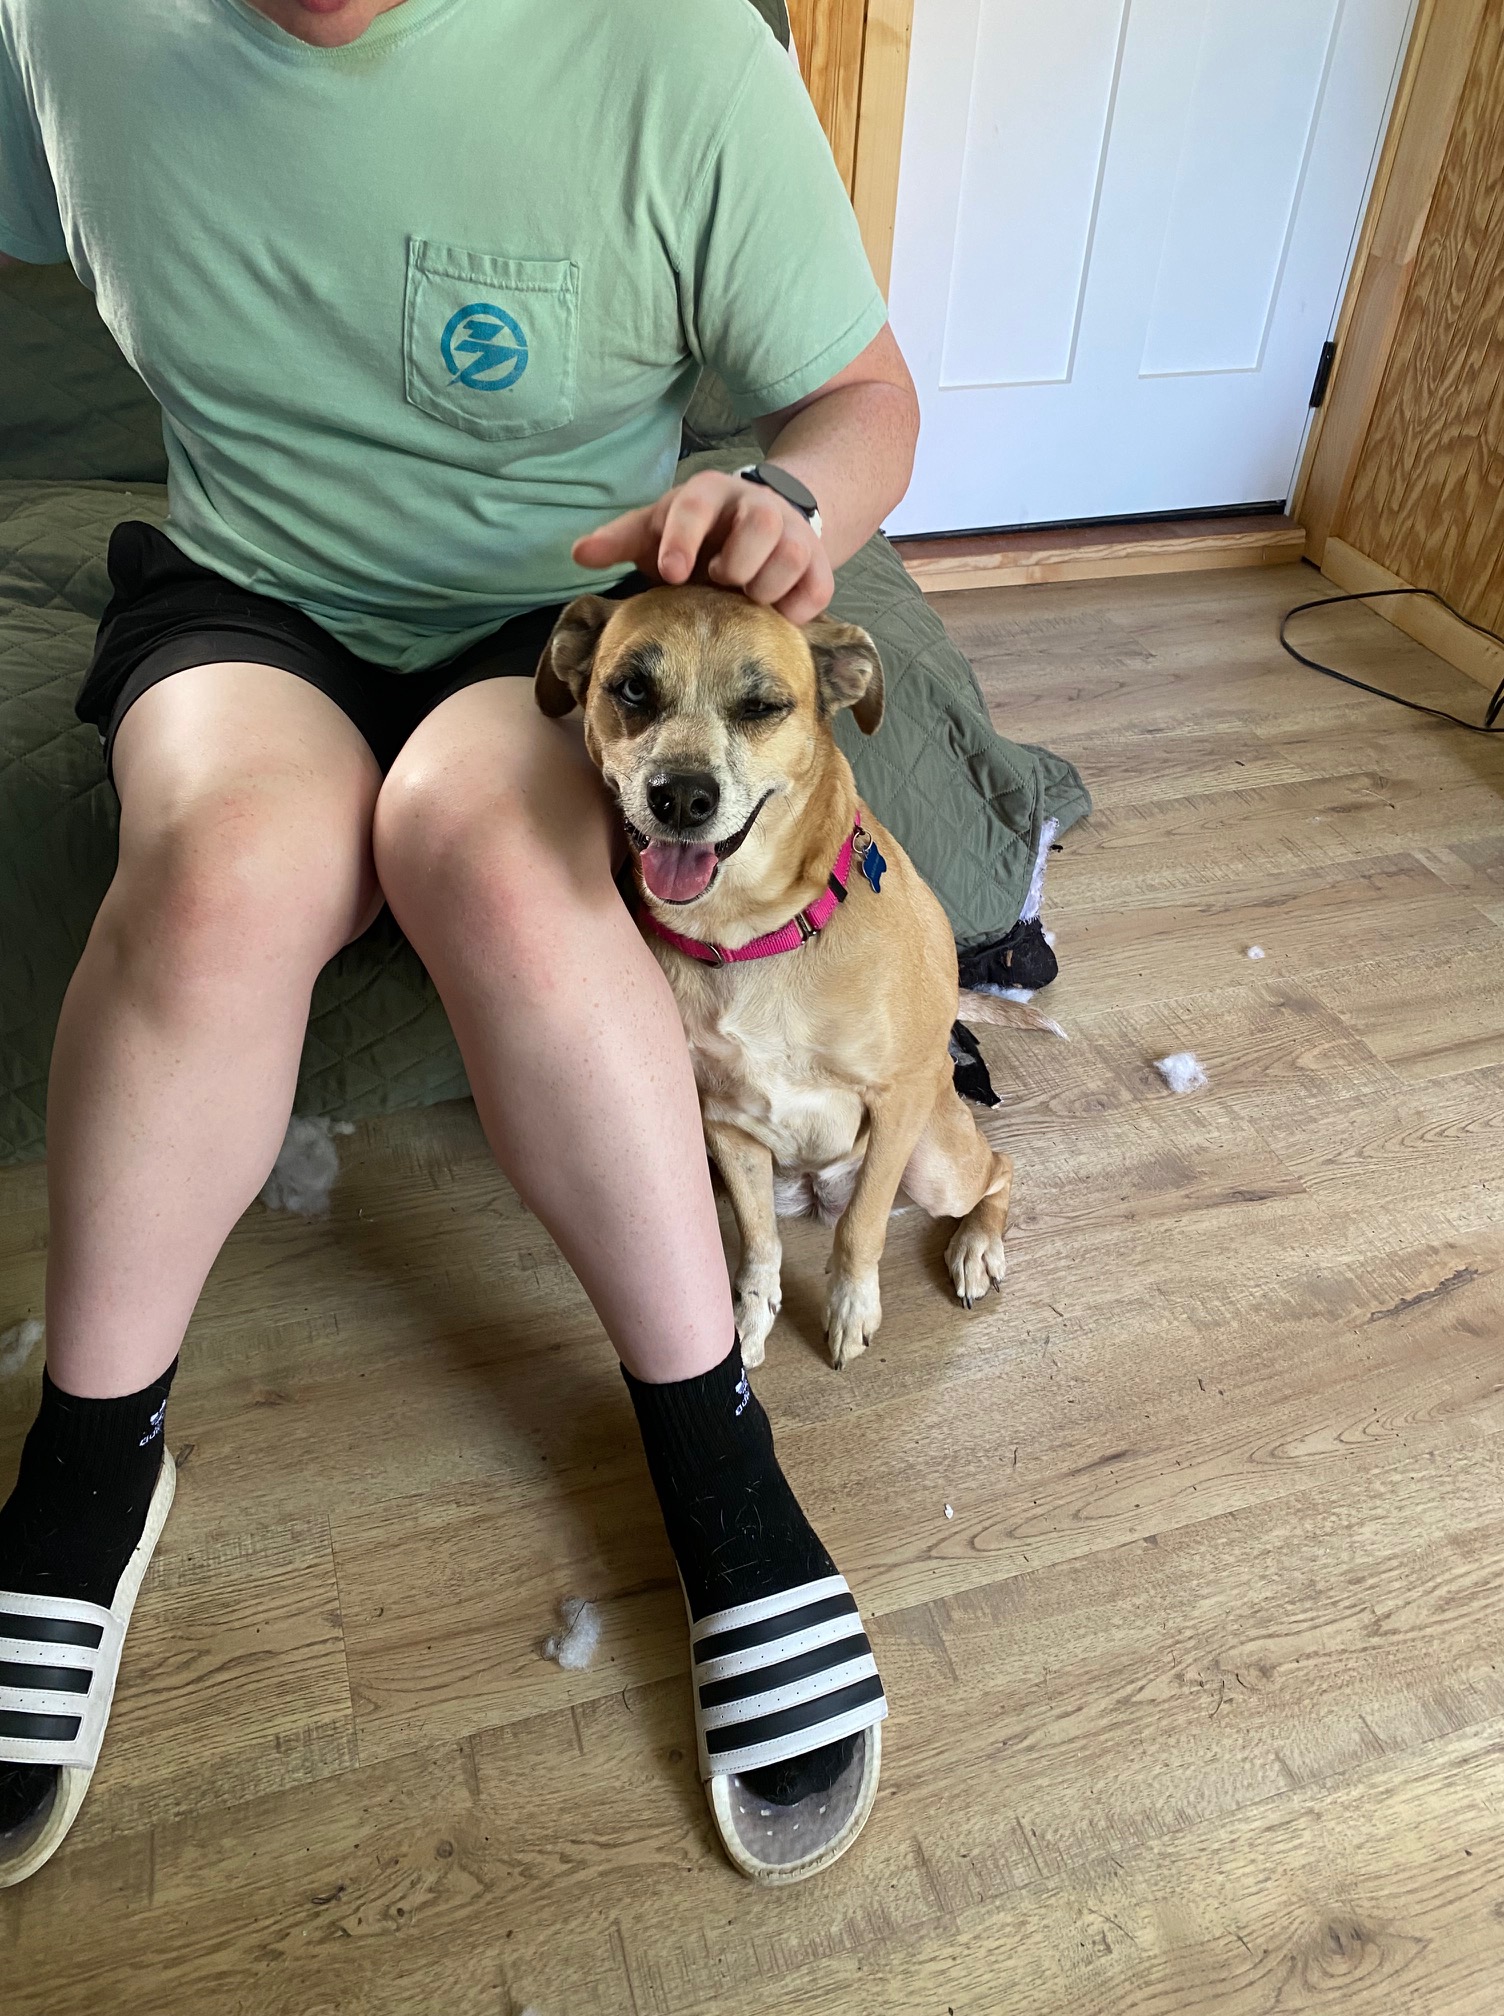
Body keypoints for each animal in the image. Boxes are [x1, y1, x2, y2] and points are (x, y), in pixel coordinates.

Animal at [537, 583, 1026, 1369]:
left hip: (932, 1155)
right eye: (633, 689)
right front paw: (750, 1314)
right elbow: (758, 1243)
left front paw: (852, 1307)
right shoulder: (726, 1126)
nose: (681, 797)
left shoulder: (898, 1098)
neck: (748, 940)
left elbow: (862, 1228)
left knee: (998, 1168)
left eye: (763, 706)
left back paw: (976, 1248)